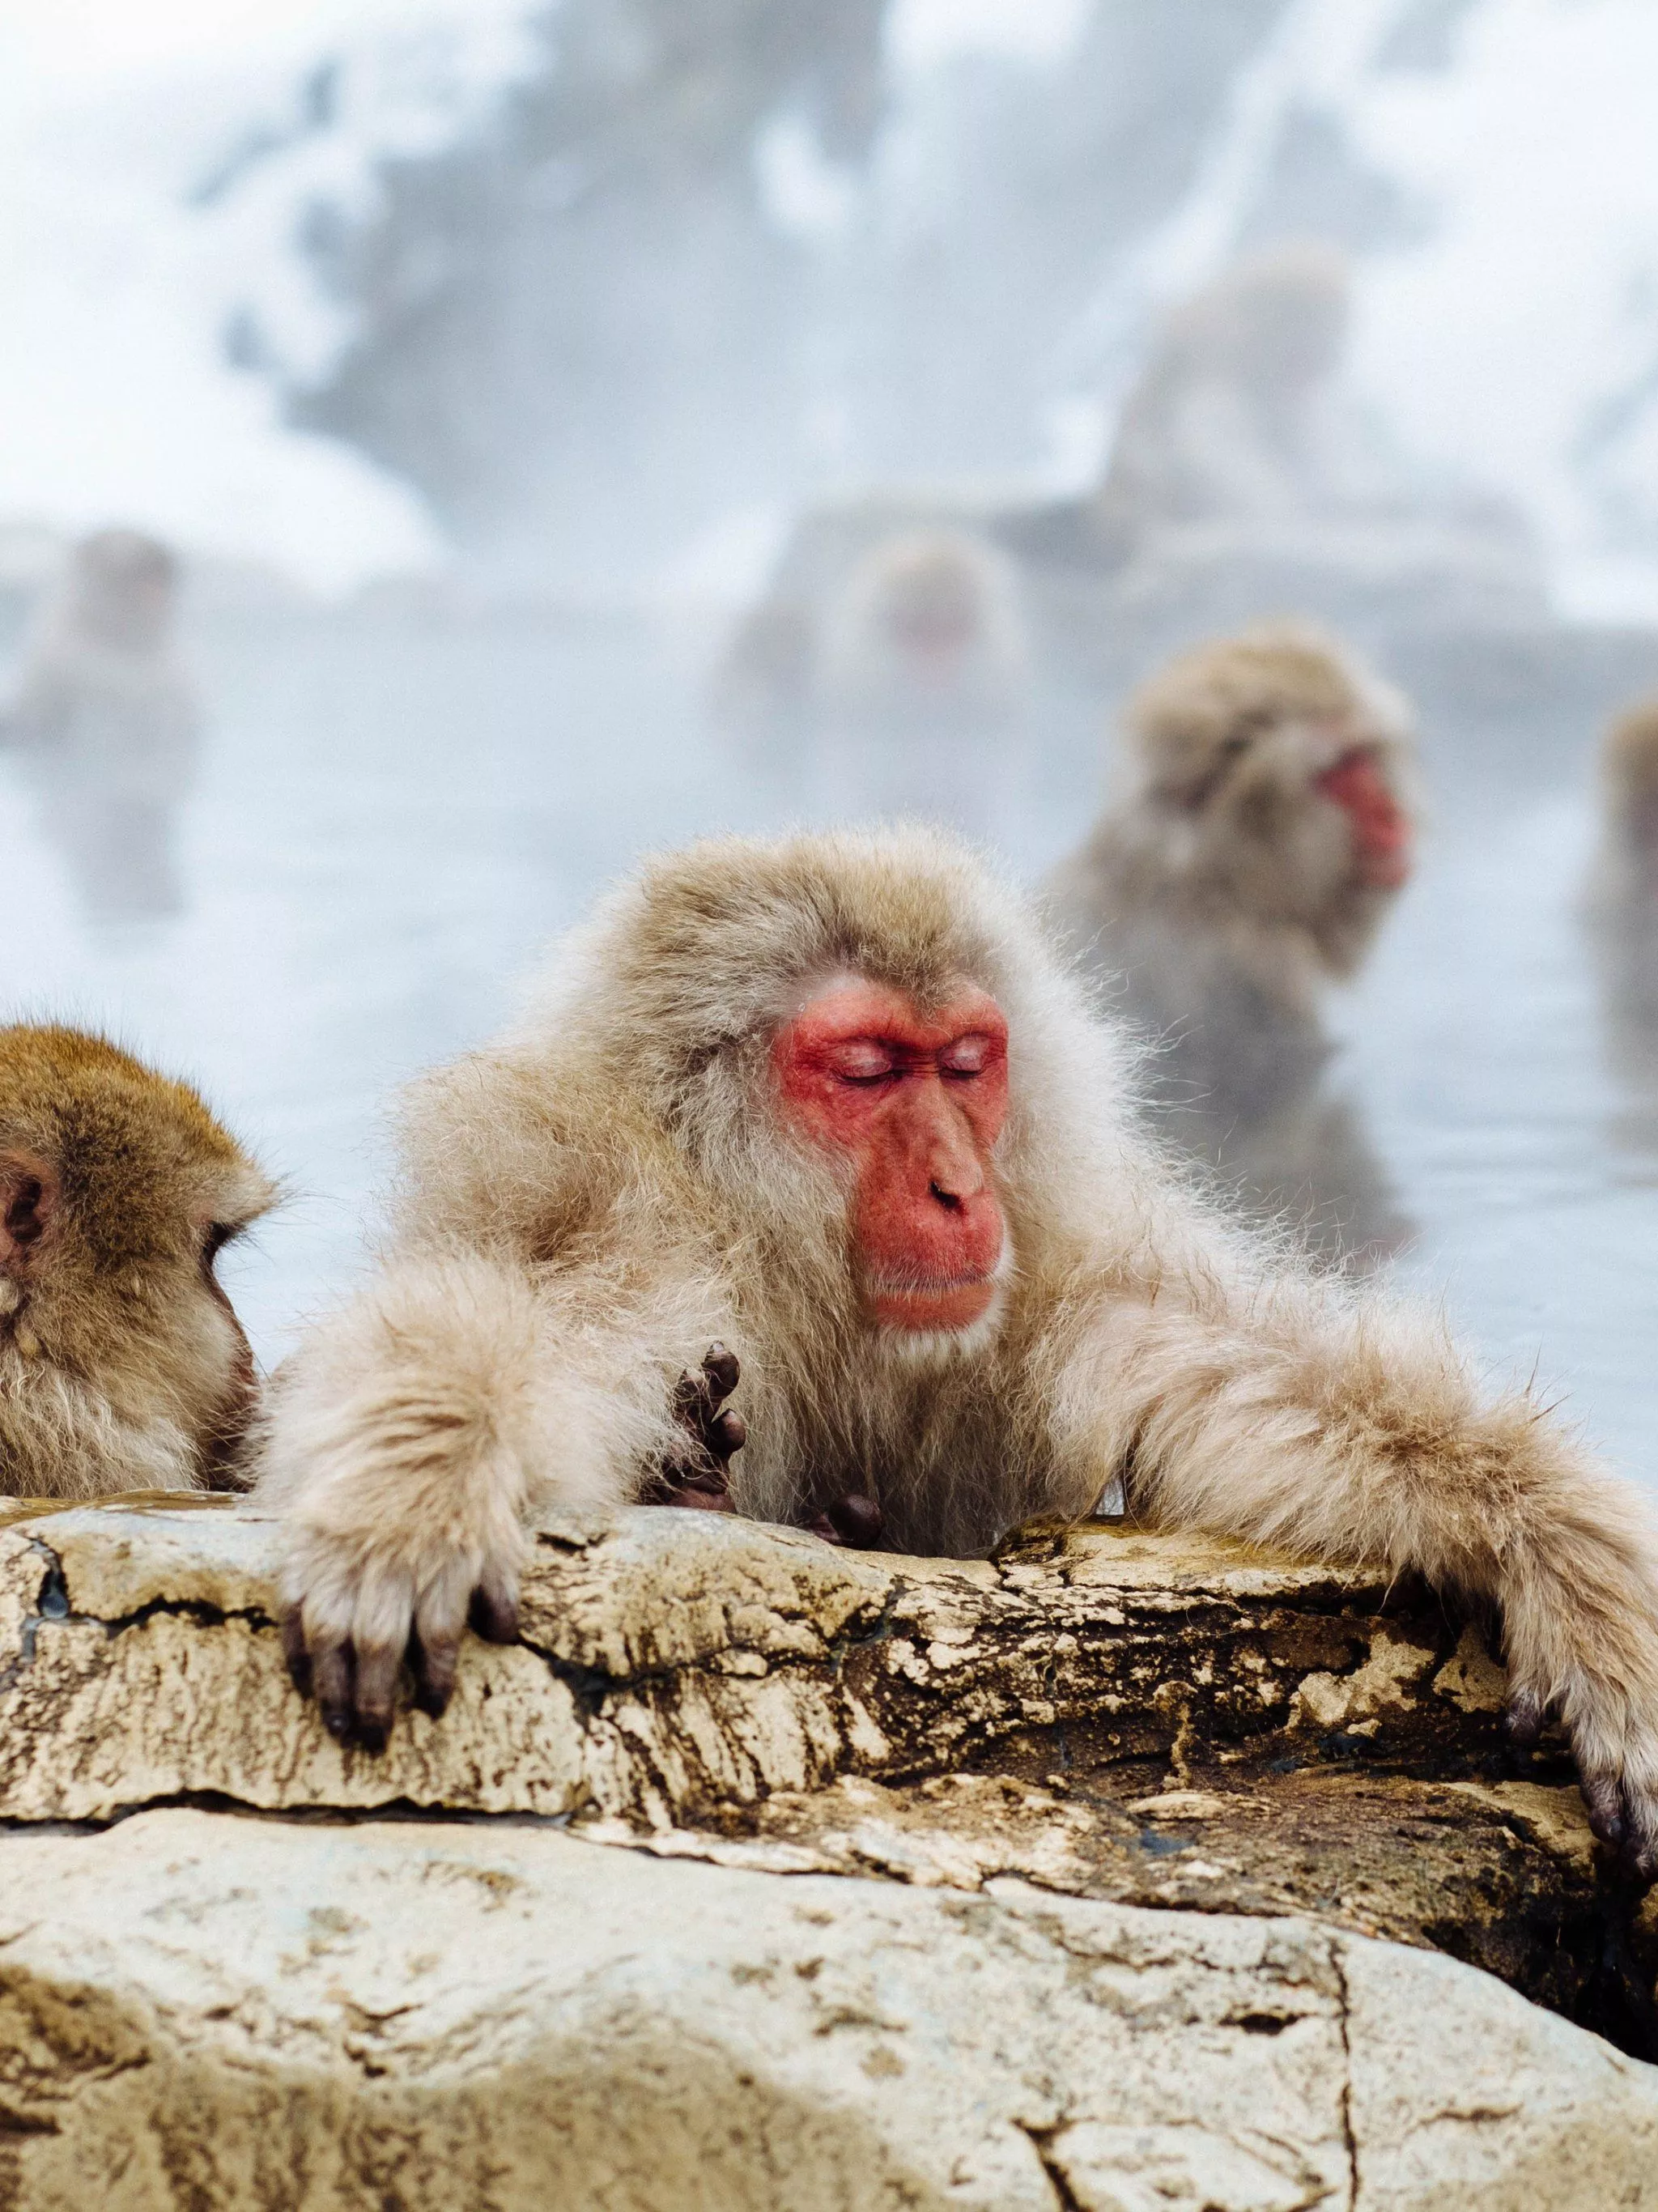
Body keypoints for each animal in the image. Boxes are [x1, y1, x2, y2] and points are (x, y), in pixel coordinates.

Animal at [260, 825, 1658, 1878]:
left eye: (971, 1064)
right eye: (871, 1069)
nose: (956, 1188)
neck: (790, 1264)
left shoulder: (1050, 1272)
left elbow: (1233, 1382)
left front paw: (1565, 1558)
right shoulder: (615, 1216)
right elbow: (519, 1327)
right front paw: (417, 1490)